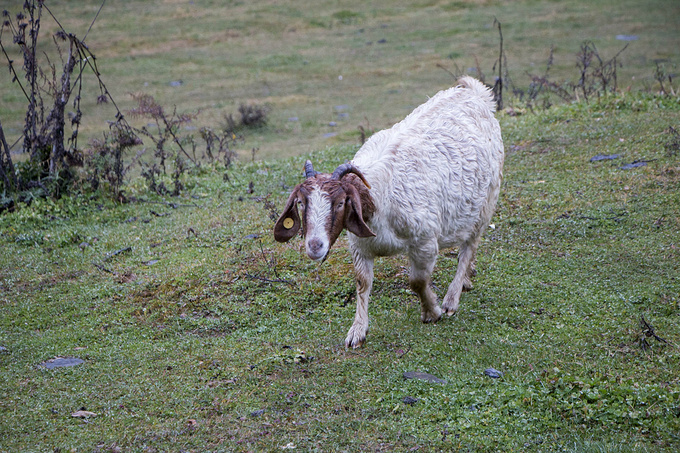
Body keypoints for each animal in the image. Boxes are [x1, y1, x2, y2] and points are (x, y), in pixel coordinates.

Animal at [274, 77, 502, 346]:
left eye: (340, 203)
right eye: (301, 203)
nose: (315, 246)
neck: (379, 198)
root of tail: (475, 91)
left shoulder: (425, 241)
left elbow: (417, 281)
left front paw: (431, 311)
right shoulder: (360, 247)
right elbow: (362, 283)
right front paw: (357, 331)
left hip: (486, 201)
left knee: (469, 246)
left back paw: (451, 299)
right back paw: (466, 279)